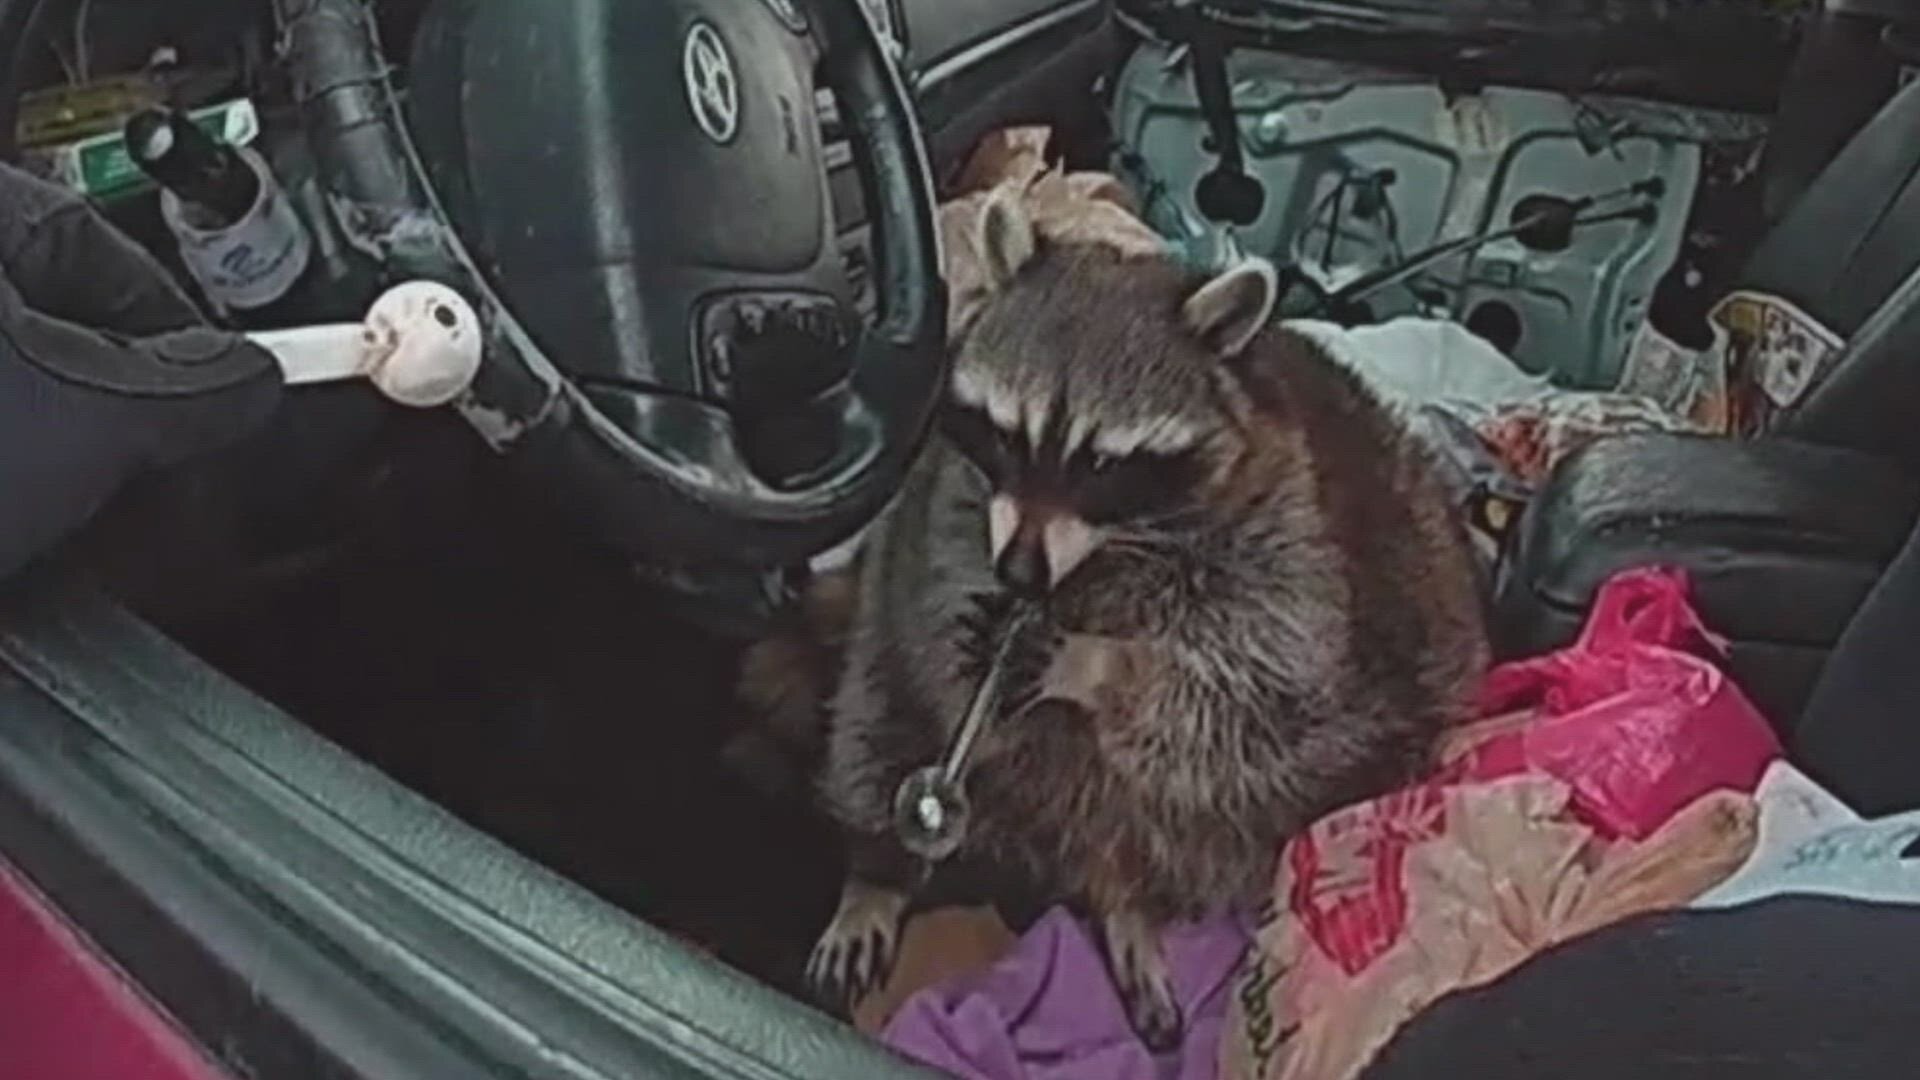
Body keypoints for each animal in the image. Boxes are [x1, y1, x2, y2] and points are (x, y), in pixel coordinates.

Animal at [807, 188, 1489, 1049]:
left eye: (1101, 462)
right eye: (1008, 433)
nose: (1020, 575)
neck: (1099, 556)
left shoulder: (1292, 535)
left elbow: (1257, 681)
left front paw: (1094, 664)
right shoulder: (948, 496)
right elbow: (938, 579)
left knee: (1210, 798)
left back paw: (1128, 901)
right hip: (884, 685)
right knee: (878, 716)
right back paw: (878, 872)